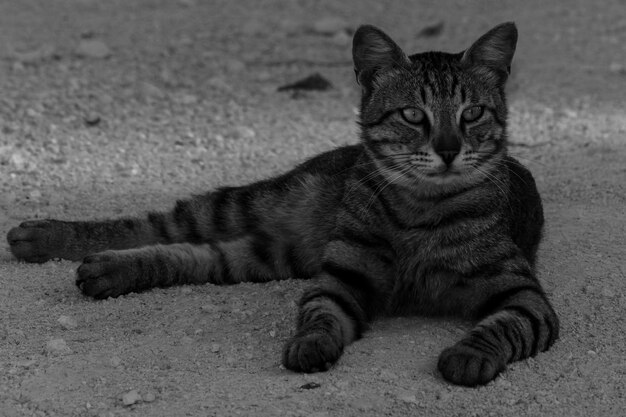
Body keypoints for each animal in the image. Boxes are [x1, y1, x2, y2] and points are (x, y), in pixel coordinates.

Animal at [7, 22, 560, 386]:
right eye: (411, 115)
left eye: (472, 113)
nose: (448, 149)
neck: (420, 211)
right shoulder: (341, 279)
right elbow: (321, 314)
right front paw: (312, 344)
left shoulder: (523, 295)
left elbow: (503, 326)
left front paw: (468, 356)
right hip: (255, 205)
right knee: (155, 223)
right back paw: (42, 236)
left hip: (269, 254)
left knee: (198, 254)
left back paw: (108, 271)